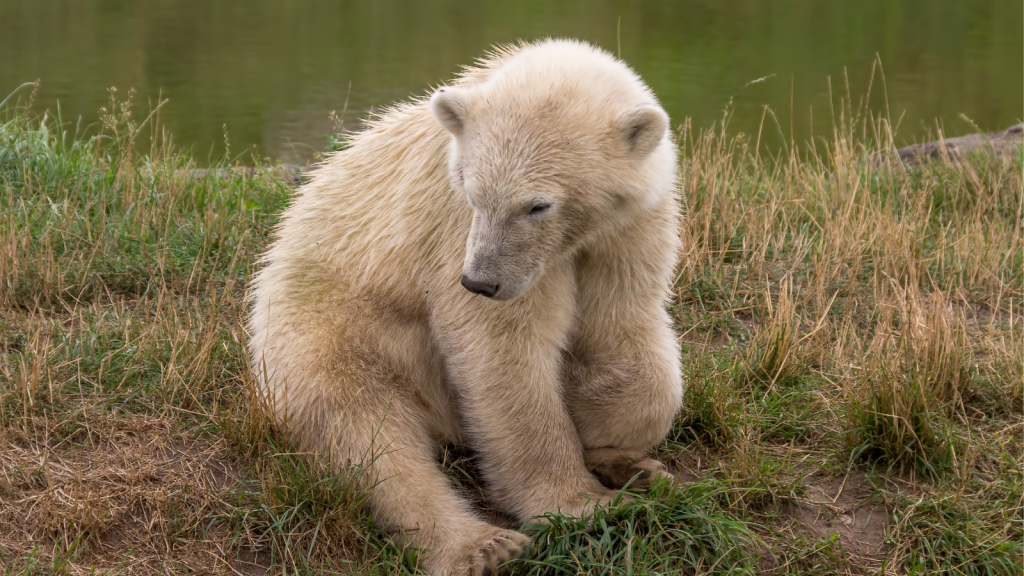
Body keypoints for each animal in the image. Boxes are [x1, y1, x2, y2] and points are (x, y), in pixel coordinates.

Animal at [246, 38, 679, 569]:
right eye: (474, 193)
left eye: (538, 204)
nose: (480, 282)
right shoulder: (455, 229)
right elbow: (503, 353)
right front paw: (581, 503)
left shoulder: (629, 228)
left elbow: (624, 331)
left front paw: (615, 448)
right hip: (328, 336)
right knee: (367, 434)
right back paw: (482, 545)